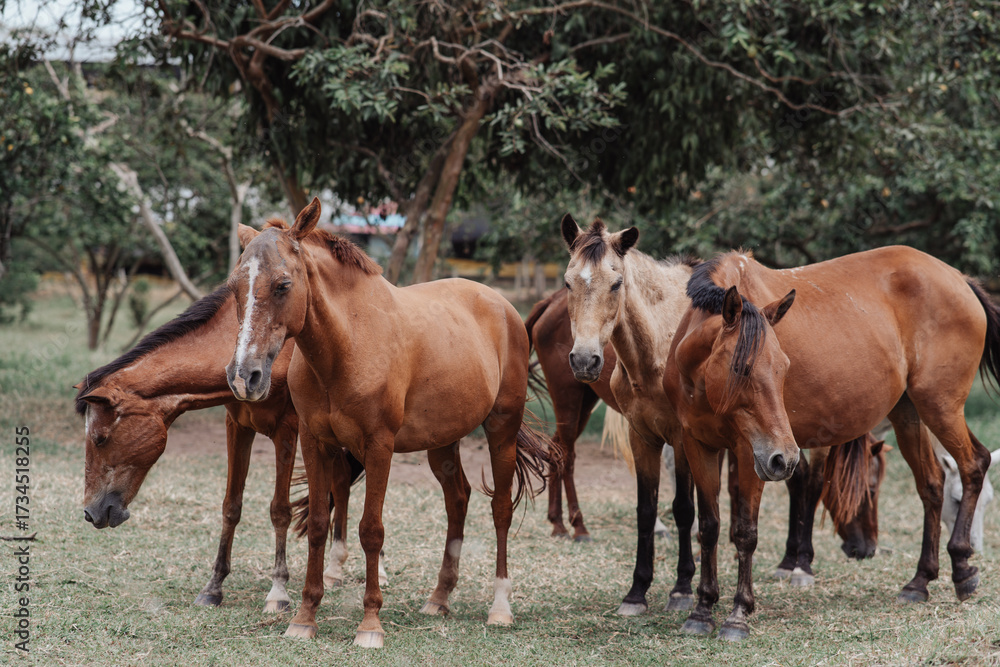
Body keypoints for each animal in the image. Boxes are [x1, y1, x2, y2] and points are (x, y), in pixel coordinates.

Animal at [223, 198, 551, 648]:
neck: (348, 342)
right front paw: (305, 617)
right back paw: (439, 598)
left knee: (500, 508)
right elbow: (321, 524)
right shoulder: (314, 441)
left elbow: (370, 531)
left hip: (501, 430)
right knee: (458, 499)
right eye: (234, 288)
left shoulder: (379, 447)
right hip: (442, 442)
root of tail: (503, 306)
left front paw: (370, 624)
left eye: (283, 285)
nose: (245, 376)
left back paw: (500, 608)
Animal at [664, 246, 996, 640]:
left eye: (784, 369)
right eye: (740, 369)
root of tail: (960, 279)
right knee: (931, 484)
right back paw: (920, 581)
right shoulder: (698, 445)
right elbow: (709, 527)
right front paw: (702, 609)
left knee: (973, 464)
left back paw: (961, 566)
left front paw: (738, 613)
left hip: (940, 407)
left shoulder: (752, 452)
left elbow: (746, 531)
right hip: (908, 414)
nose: (865, 549)